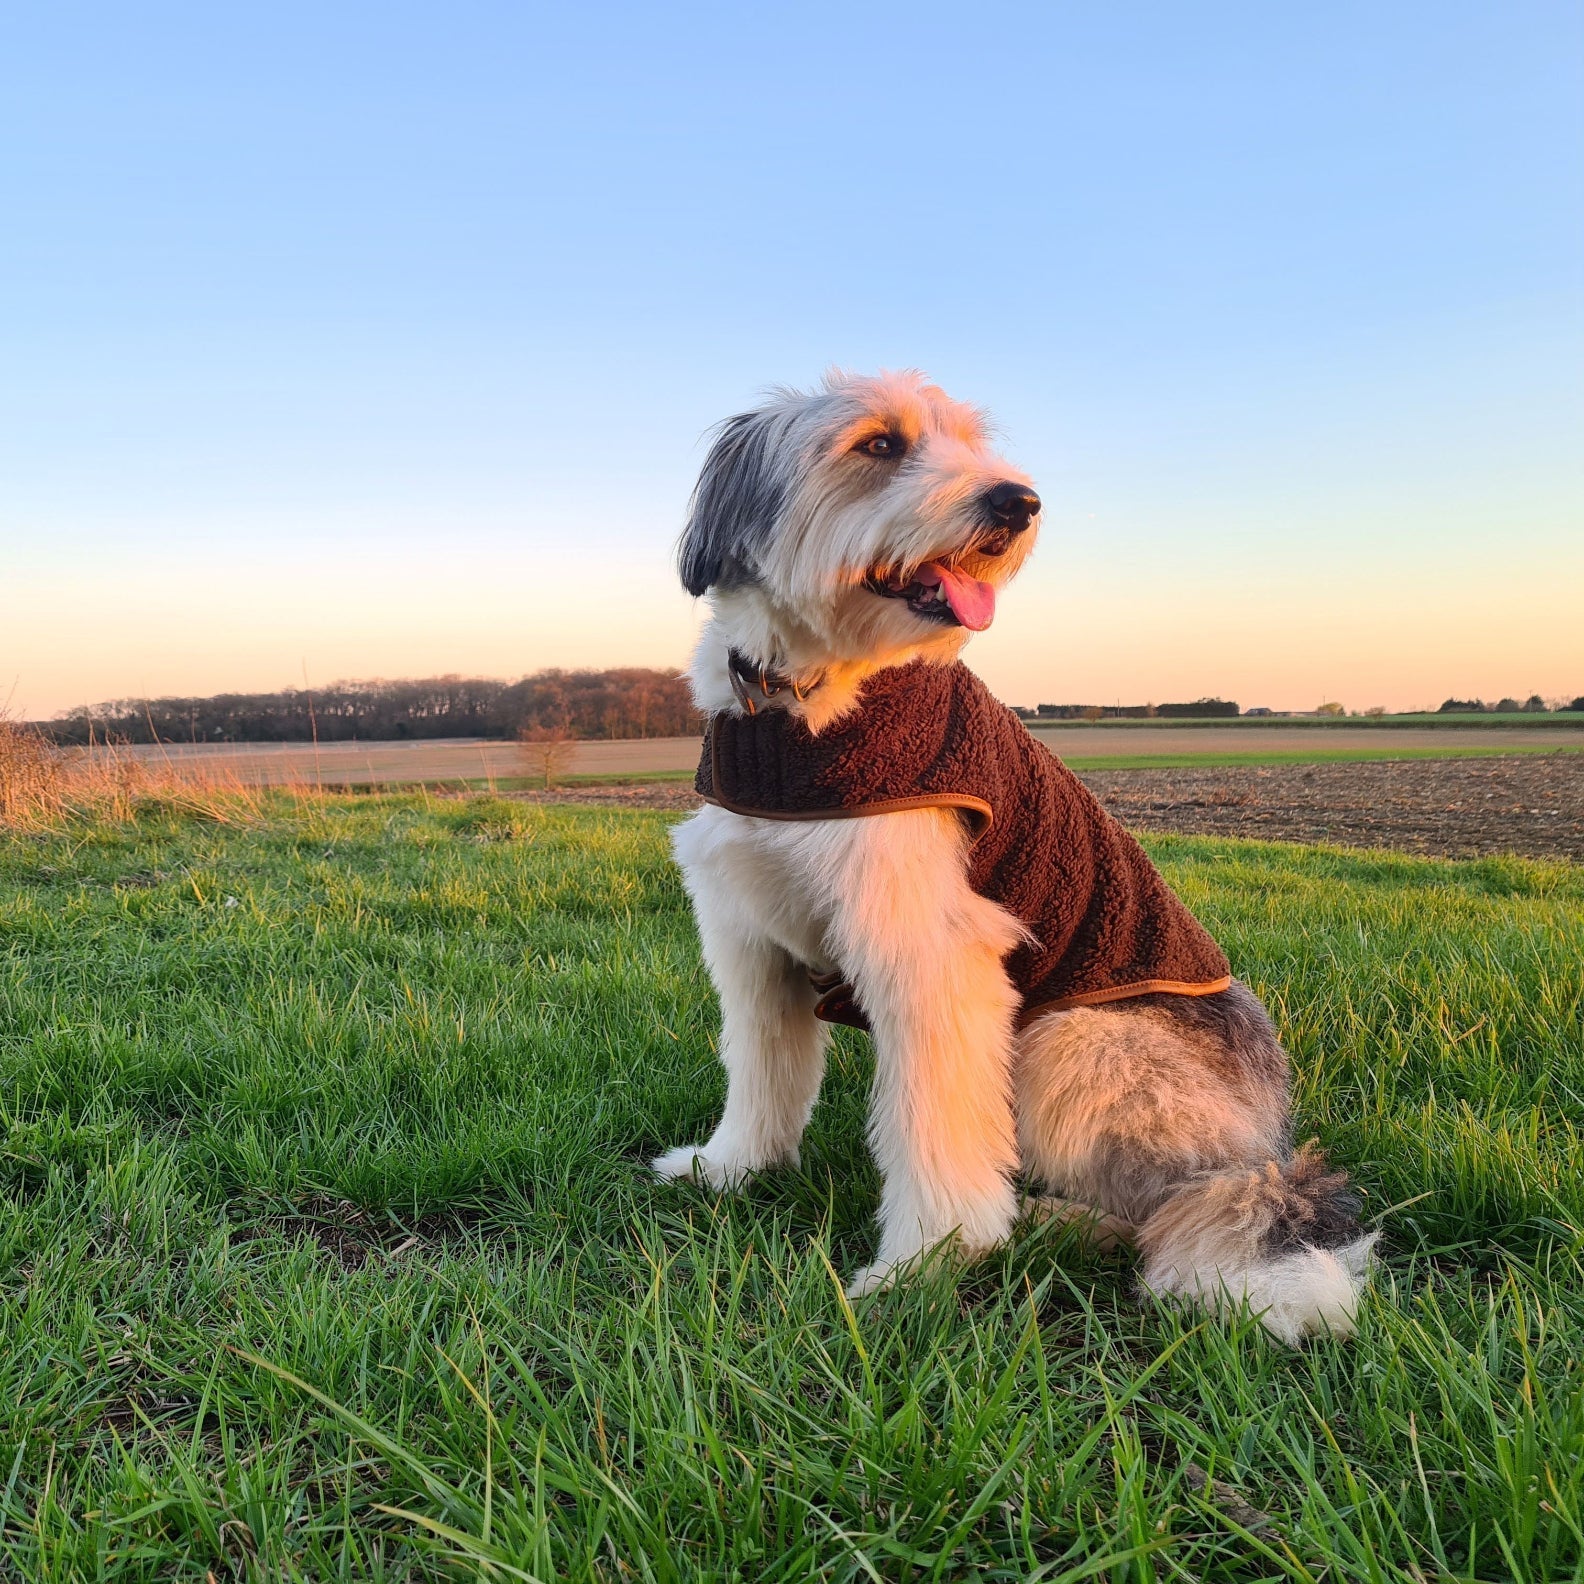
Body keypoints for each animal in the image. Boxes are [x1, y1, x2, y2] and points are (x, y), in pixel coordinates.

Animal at [649, 373, 1368, 1349]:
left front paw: (926, 1263)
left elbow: (934, 1130)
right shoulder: (751, 938)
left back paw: (1058, 1222)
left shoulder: (931, 954)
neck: (807, 708)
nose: (1018, 502)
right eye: (879, 444)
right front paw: (731, 1170)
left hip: (1071, 1041)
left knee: (1161, 1204)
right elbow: (761, 1071)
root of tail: (1262, 1143)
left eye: (968, 443)